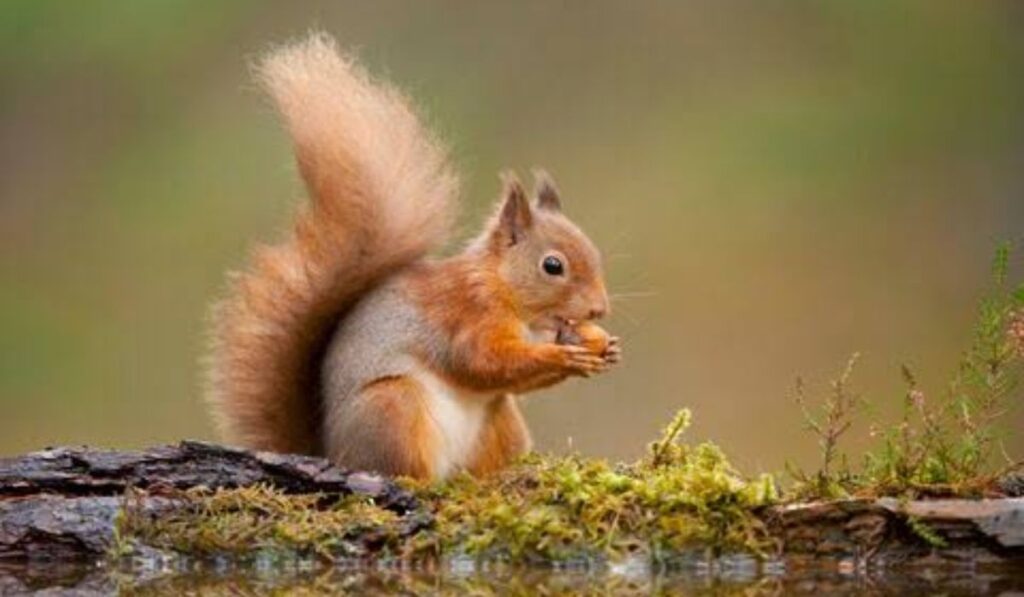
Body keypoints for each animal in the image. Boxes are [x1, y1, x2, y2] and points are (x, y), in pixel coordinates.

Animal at [206, 33, 620, 480]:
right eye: (552, 266)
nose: (598, 310)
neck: (503, 288)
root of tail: (335, 452)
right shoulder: (467, 315)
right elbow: (481, 361)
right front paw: (562, 355)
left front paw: (605, 347)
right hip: (393, 407)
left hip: (500, 420)